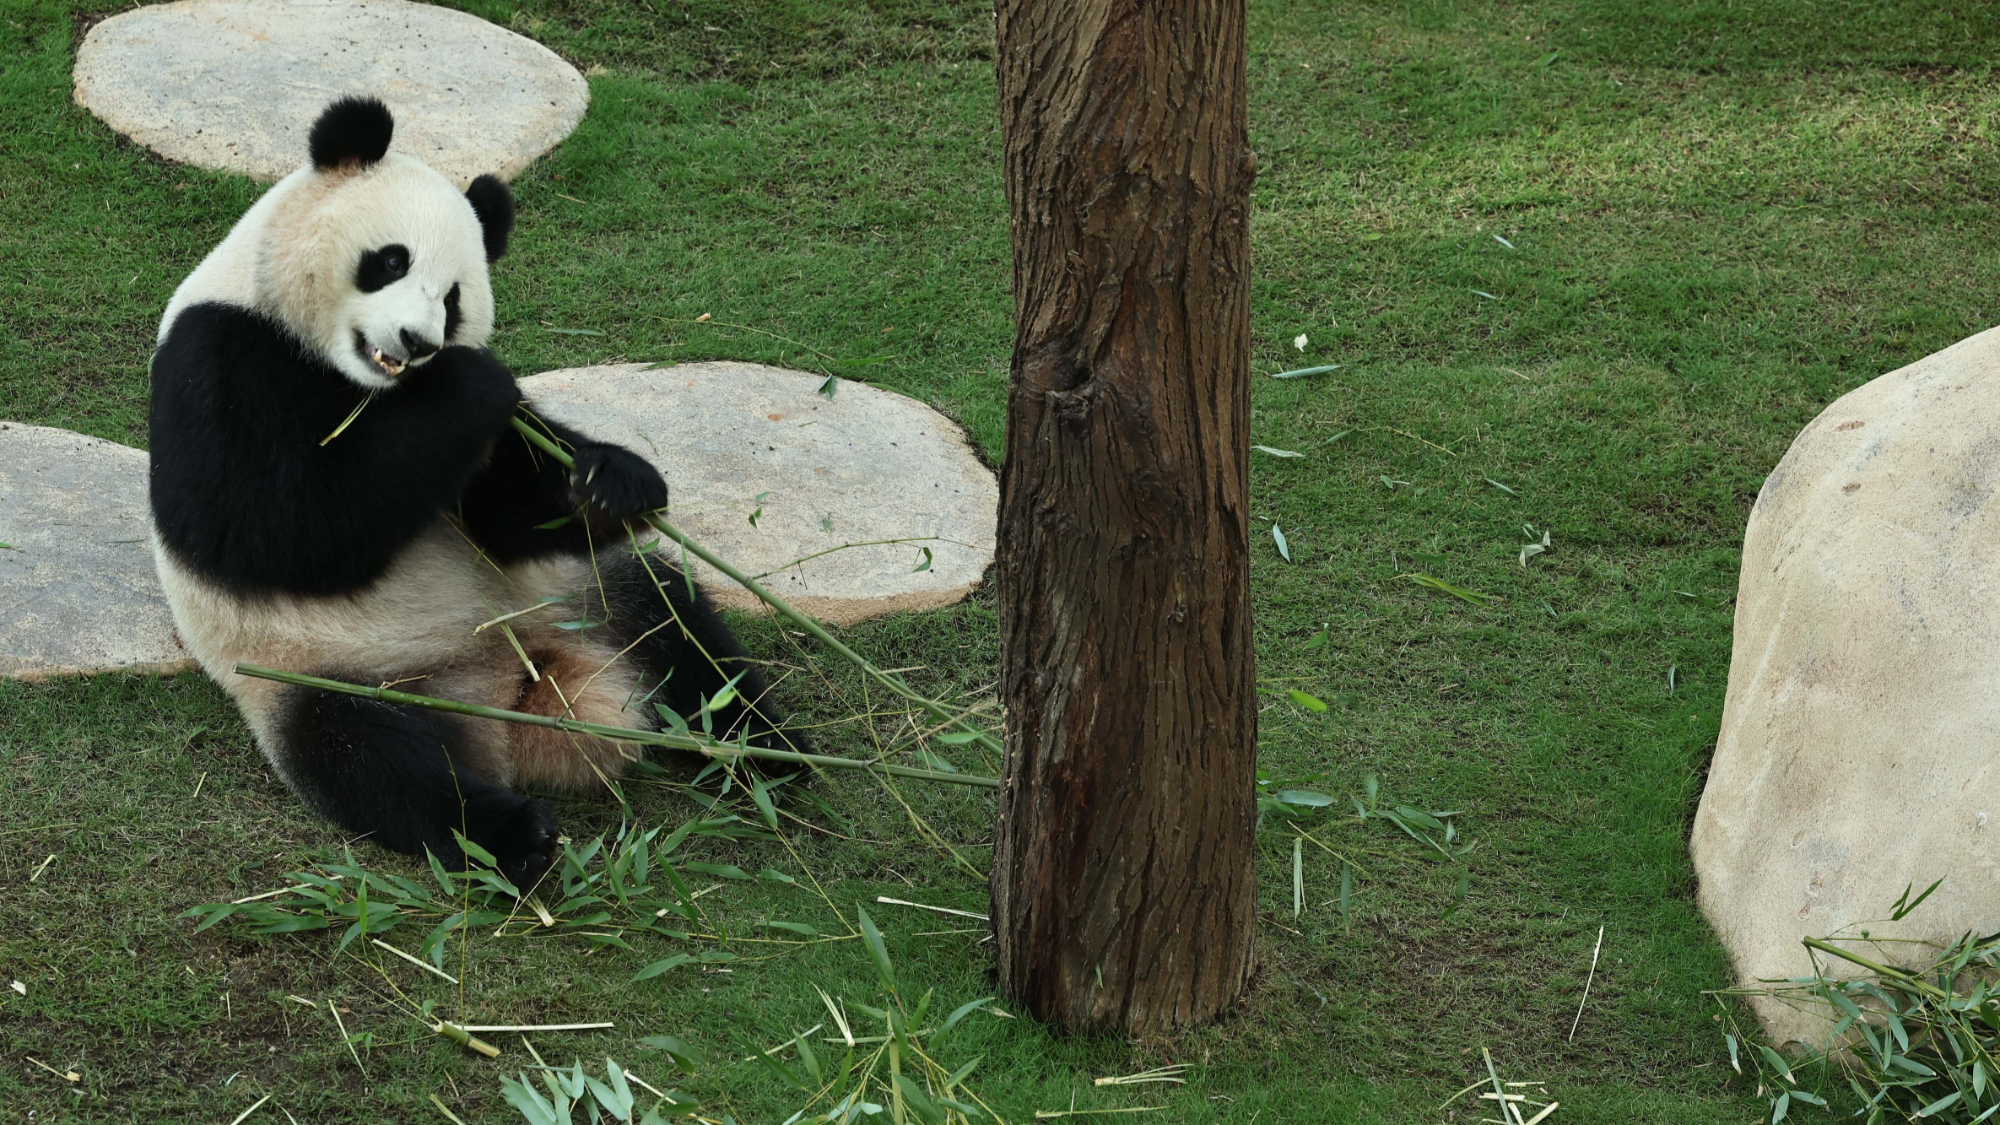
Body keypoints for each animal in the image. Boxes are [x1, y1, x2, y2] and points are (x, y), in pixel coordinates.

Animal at [152, 98, 792, 876]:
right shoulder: (221, 356)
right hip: (321, 675)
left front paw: (614, 481)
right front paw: (471, 383)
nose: (419, 341)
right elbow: (278, 535)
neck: (362, 382)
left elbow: (503, 514)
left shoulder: (479, 458)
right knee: (379, 764)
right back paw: (520, 834)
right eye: (391, 260)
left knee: (680, 631)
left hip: (580, 594)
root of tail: (512, 686)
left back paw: (769, 753)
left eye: (454, 298)